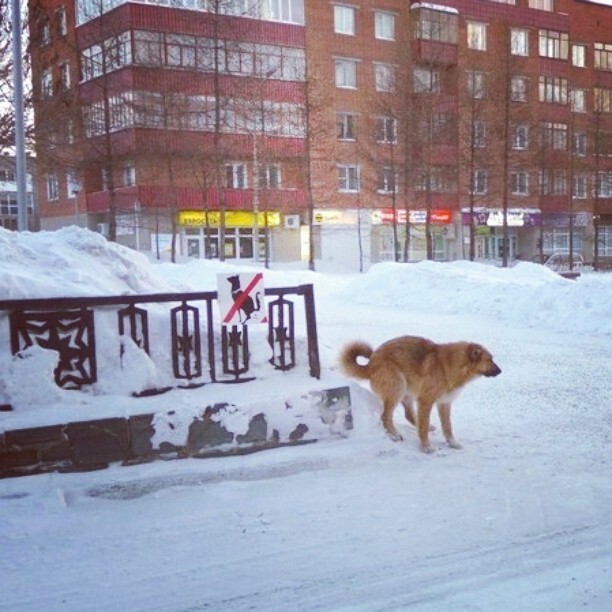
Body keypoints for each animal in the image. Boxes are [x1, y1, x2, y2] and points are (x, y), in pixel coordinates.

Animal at [340, 334, 502, 450]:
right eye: (490, 360)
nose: (501, 371)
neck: (450, 366)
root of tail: (371, 364)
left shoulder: (444, 403)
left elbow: (447, 426)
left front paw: (452, 443)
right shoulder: (426, 401)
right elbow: (423, 427)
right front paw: (426, 447)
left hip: (408, 392)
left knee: (409, 415)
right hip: (397, 389)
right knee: (385, 416)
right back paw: (394, 435)